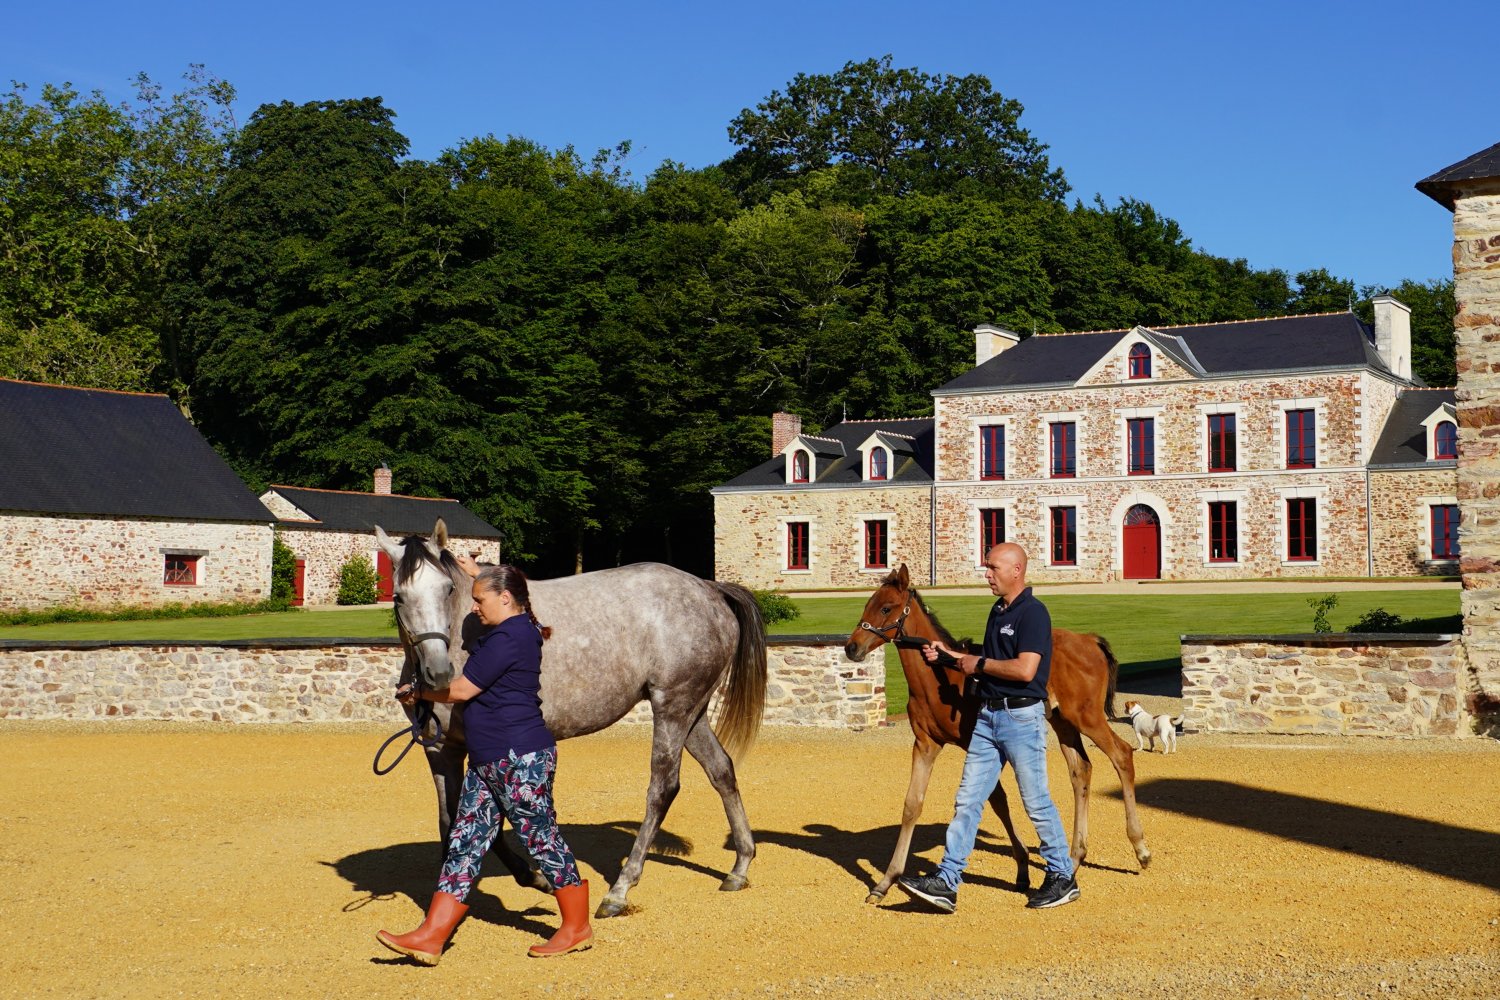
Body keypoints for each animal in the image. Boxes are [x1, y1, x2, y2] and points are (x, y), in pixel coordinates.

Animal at [374, 519, 767, 918]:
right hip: (692, 712)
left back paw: (620, 889)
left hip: (672, 708)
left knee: (663, 789)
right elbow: (451, 819)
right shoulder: (441, 750)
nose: (438, 673)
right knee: (721, 770)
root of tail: (710, 589)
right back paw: (739, 867)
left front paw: (536, 878)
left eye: (448, 589)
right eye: (399, 597)